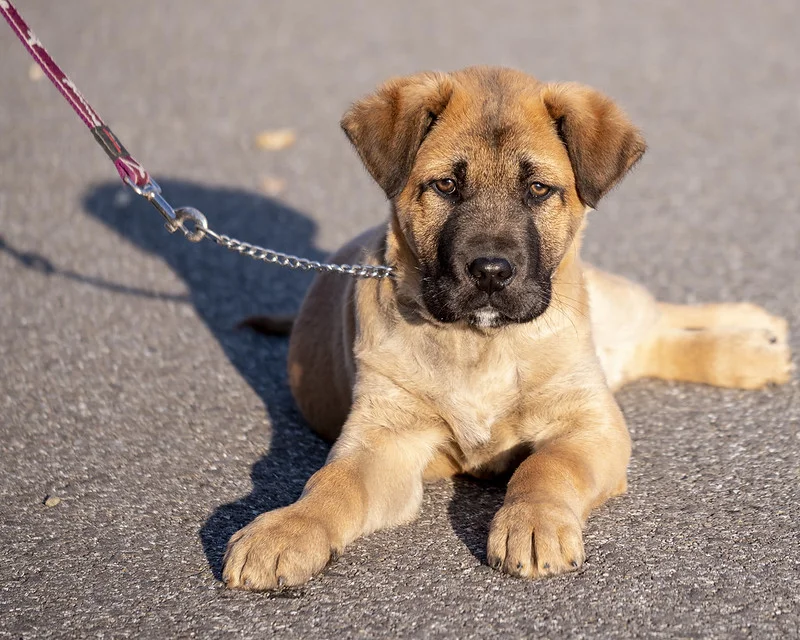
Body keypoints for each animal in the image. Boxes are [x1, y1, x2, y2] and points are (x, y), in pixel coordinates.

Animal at [222, 66, 792, 592]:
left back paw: (755, 336)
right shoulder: (383, 439)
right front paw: (286, 529)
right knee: (651, 343)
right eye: (446, 185)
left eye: (538, 188)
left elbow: (546, 467)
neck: (483, 342)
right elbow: (331, 482)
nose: (492, 272)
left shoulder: (589, 423)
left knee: (655, 318)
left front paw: (532, 523)